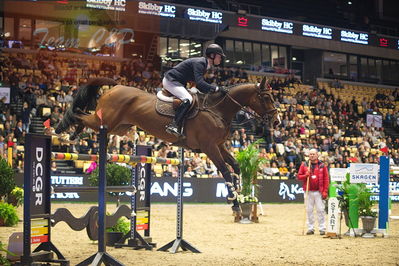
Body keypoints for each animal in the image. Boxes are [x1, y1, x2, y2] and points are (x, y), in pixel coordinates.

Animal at [55, 77, 282, 212]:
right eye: (266, 97)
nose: (277, 122)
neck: (217, 110)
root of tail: (114, 88)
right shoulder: (209, 147)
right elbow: (225, 171)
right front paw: (234, 201)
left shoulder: (219, 146)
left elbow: (235, 166)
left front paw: (239, 194)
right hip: (107, 122)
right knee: (79, 114)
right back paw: (61, 130)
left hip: (116, 127)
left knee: (84, 116)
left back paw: (72, 134)